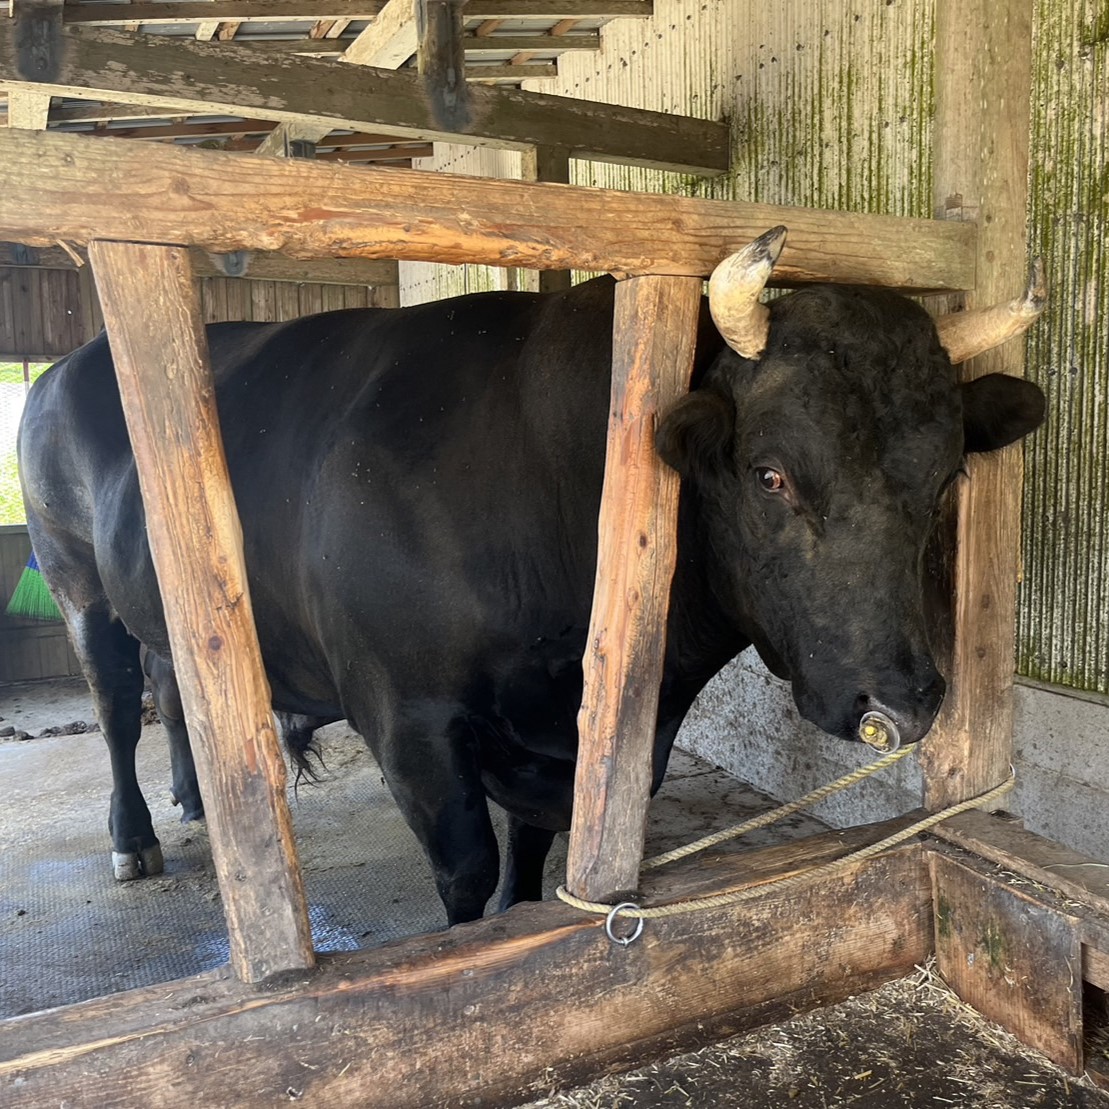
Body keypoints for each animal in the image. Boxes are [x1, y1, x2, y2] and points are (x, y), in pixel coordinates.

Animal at [17, 247, 1042, 922]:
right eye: (770, 474)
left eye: (948, 474)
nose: (902, 699)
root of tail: (67, 362)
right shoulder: (408, 721)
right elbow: (468, 870)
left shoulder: (581, 740)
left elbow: (533, 846)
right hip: (73, 578)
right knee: (113, 701)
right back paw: (134, 835)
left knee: (172, 680)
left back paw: (195, 794)